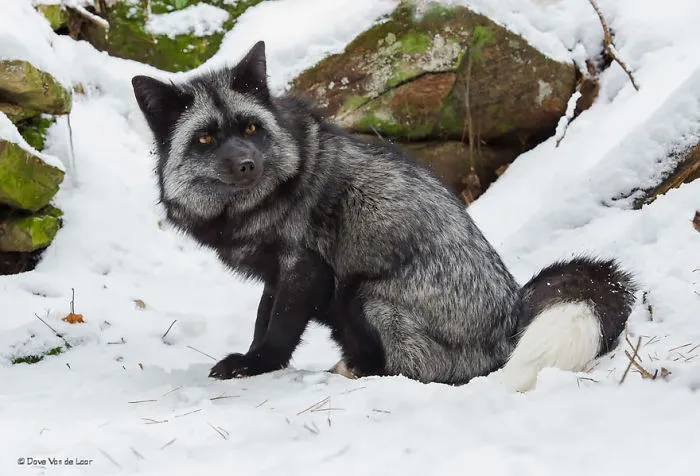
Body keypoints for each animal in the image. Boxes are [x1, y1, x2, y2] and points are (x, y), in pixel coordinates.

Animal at [131, 41, 636, 391]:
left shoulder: (305, 269)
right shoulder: (276, 273)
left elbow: (277, 331)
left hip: (364, 295)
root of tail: (513, 320)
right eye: (205, 139)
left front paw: (256, 366)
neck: (252, 207)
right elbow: (261, 320)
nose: (246, 164)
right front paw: (251, 358)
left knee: (421, 371)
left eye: (251, 128)